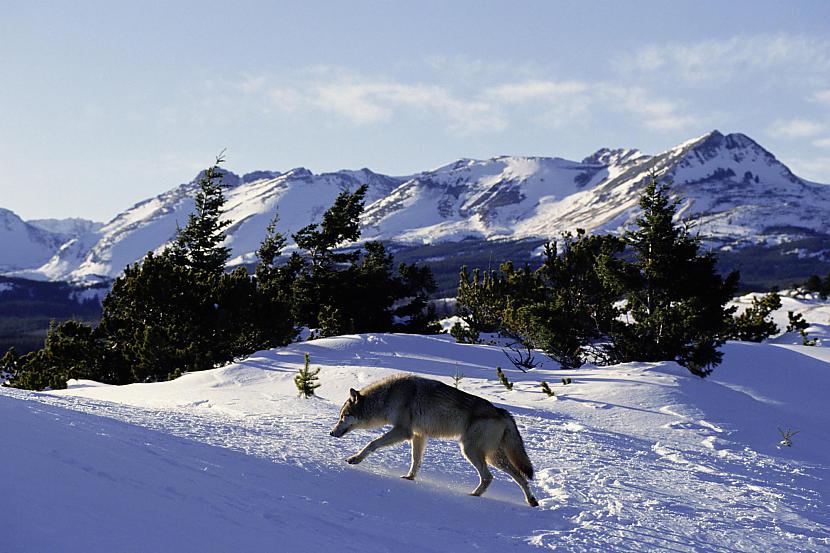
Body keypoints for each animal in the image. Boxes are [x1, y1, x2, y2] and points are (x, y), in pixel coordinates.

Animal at [328, 374, 544, 506]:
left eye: (344, 416)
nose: (331, 433)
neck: (388, 397)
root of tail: (502, 411)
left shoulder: (403, 431)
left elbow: (372, 444)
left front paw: (355, 459)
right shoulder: (418, 435)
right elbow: (416, 460)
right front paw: (410, 478)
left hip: (471, 451)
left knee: (489, 477)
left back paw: (473, 496)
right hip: (492, 457)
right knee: (520, 476)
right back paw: (531, 501)